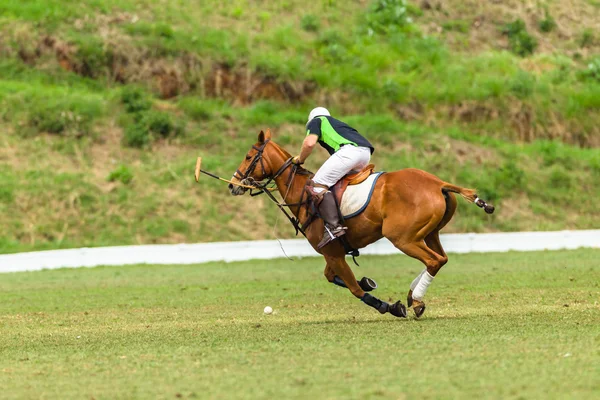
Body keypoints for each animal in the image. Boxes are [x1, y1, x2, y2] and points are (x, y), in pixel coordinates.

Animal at [227, 130, 494, 318]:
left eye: (249, 157)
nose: (232, 185)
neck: (302, 192)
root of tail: (438, 183)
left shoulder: (332, 252)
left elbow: (354, 288)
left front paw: (390, 307)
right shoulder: (334, 252)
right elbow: (334, 277)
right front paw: (370, 282)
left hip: (403, 237)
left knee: (434, 260)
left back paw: (415, 301)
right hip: (429, 233)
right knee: (441, 259)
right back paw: (411, 296)